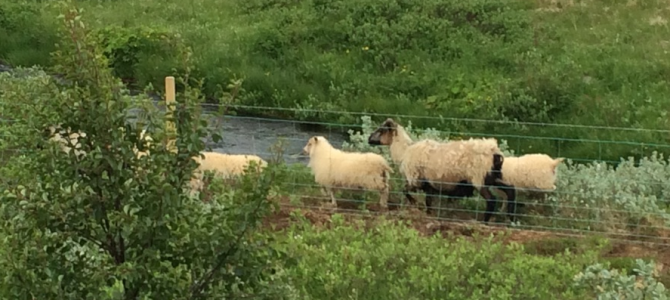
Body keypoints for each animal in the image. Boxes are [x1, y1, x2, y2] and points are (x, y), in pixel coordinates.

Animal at [368, 118, 516, 223]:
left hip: (479, 178)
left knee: (491, 200)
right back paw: (510, 218)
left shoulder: (416, 180)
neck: (404, 151)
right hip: (492, 177)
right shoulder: (429, 186)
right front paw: (428, 214)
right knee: (510, 190)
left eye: (381, 130)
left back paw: (484, 222)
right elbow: (428, 202)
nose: (369, 139)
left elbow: (405, 191)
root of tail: (494, 151)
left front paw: (415, 203)